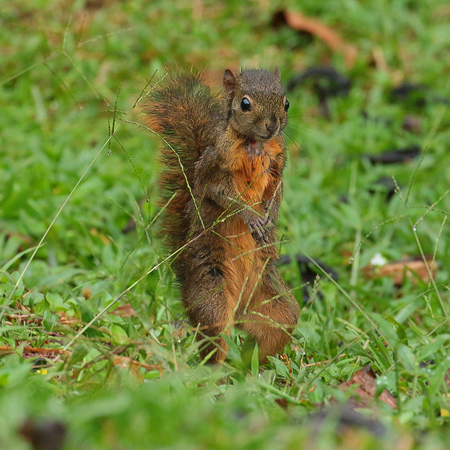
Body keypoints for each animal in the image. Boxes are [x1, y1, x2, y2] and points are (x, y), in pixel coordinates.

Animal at [143, 67, 298, 366]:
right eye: (244, 103)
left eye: (286, 103)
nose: (272, 125)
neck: (254, 145)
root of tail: (238, 311)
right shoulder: (217, 165)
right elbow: (222, 195)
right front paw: (251, 217)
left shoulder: (278, 164)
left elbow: (277, 191)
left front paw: (269, 219)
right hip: (212, 299)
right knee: (214, 343)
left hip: (274, 305)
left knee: (274, 331)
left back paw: (253, 371)